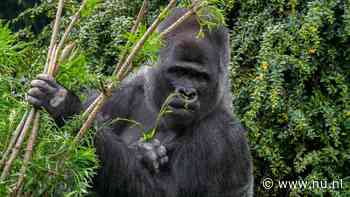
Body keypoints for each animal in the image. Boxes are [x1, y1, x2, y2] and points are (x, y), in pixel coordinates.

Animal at [26, 7, 253, 197]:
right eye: (179, 72)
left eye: (200, 77)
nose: (187, 93)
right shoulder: (119, 91)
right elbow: (62, 172)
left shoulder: (222, 136)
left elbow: (165, 191)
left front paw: (66, 107)